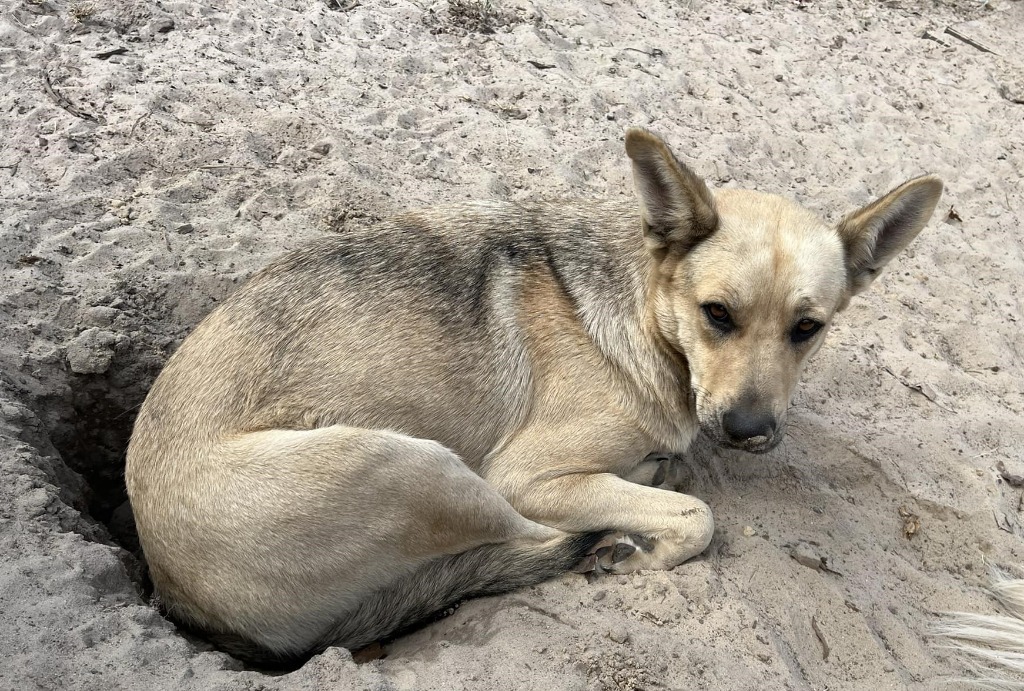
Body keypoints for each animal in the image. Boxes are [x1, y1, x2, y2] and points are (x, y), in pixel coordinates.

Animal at [121, 126, 942, 663]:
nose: (748, 430)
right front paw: (644, 536)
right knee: (523, 535)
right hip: (421, 465)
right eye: (718, 314)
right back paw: (607, 536)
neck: (644, 311)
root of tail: (176, 594)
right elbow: (698, 517)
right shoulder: (529, 472)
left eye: (808, 329)